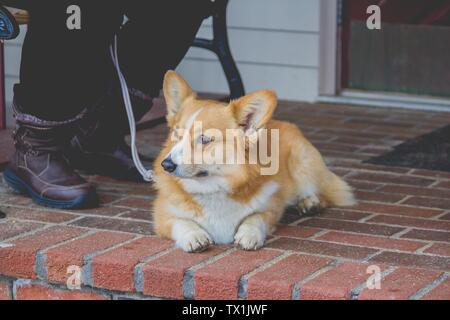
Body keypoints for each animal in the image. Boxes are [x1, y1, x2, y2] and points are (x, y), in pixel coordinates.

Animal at [153, 70, 356, 252]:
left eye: (204, 139)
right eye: (176, 135)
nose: (166, 165)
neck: (213, 187)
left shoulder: (271, 209)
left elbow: (255, 218)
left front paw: (249, 234)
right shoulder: (162, 215)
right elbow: (182, 222)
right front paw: (193, 236)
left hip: (302, 165)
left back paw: (310, 202)